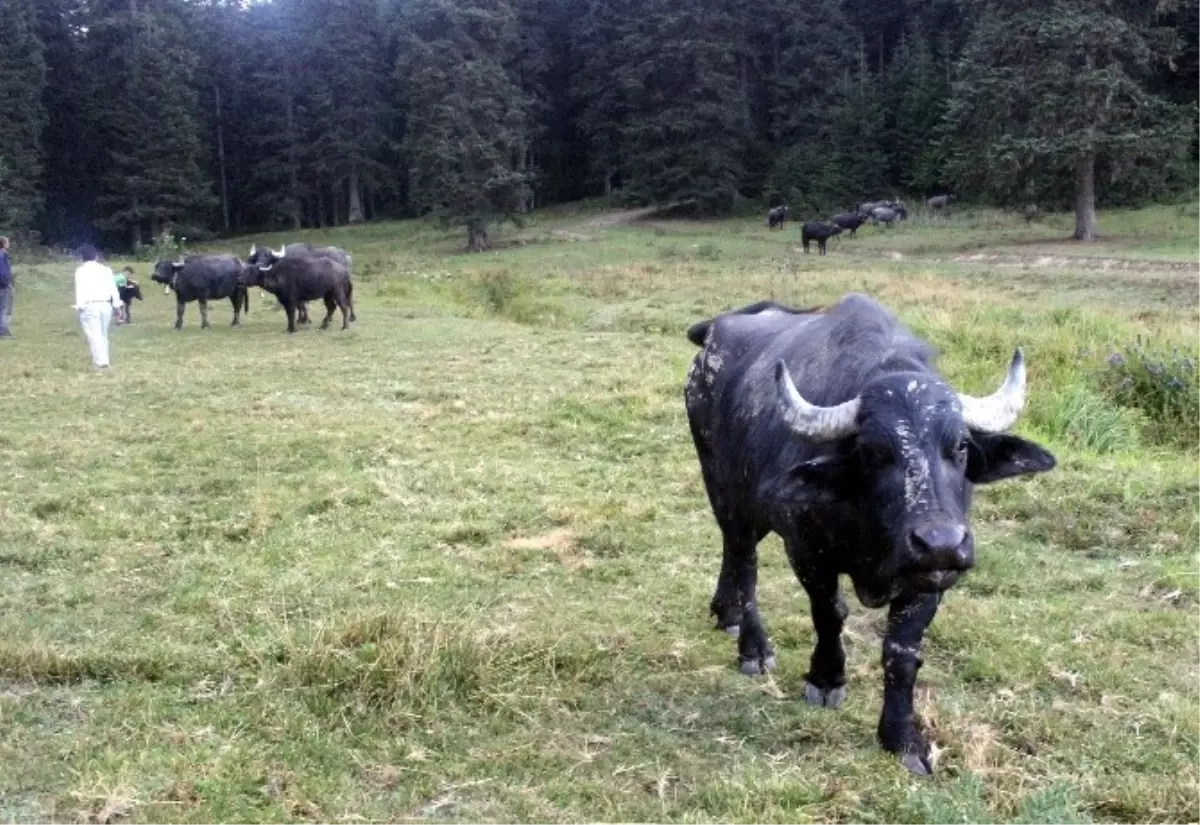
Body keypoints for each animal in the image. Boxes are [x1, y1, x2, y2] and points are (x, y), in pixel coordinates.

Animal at [681, 294, 1056, 772]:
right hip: (724, 488)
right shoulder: (807, 552)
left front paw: (902, 737)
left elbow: (901, 650)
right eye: (874, 451)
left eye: (959, 446)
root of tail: (713, 332)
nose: (940, 542)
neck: (877, 534)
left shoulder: (932, 577)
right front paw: (826, 679)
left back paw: (724, 612)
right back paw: (753, 647)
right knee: (744, 560)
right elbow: (829, 614)